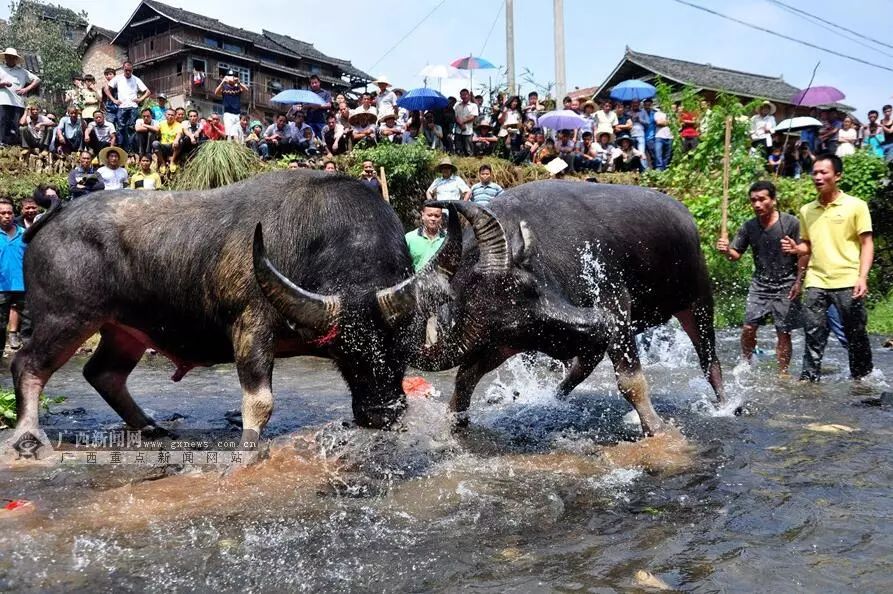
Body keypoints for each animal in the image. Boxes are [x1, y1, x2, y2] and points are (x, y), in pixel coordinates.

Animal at [3, 169, 442, 456]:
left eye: (403, 349)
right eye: (346, 352)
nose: (381, 413)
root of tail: (51, 219)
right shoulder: (250, 326)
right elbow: (260, 400)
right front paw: (248, 449)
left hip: (123, 330)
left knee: (103, 372)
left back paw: (150, 427)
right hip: (65, 318)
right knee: (28, 365)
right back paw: (28, 437)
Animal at [418, 180, 724, 434]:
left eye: (533, 289)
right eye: (522, 326)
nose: (597, 323)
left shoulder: (615, 305)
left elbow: (630, 381)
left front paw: (655, 426)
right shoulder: (499, 345)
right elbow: (465, 376)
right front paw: (455, 417)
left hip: (698, 302)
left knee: (710, 361)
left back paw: (724, 405)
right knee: (581, 369)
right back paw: (555, 396)